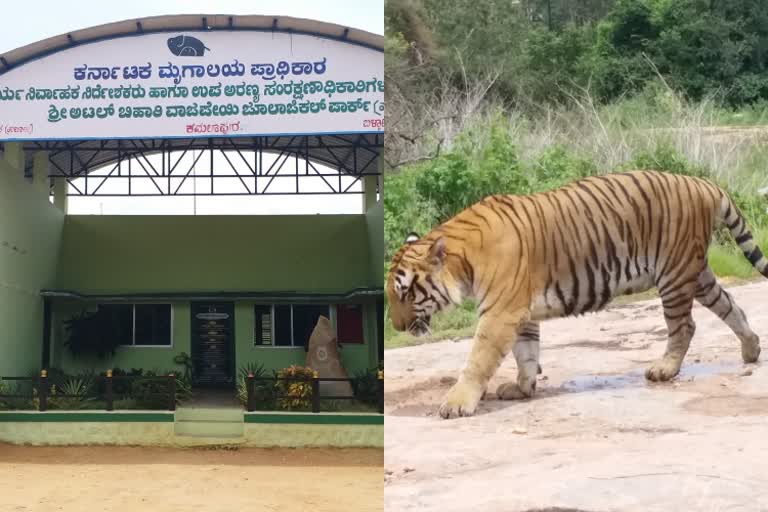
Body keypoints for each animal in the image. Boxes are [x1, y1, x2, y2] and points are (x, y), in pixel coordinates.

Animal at [390, 170, 768, 418]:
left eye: (405, 292)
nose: (395, 327)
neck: (463, 260)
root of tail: (703, 183)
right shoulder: (520, 312)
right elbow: (526, 353)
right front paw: (522, 389)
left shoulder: (500, 313)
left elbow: (479, 360)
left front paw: (456, 403)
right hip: (695, 272)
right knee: (730, 306)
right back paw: (751, 350)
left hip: (674, 274)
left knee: (684, 326)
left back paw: (664, 369)